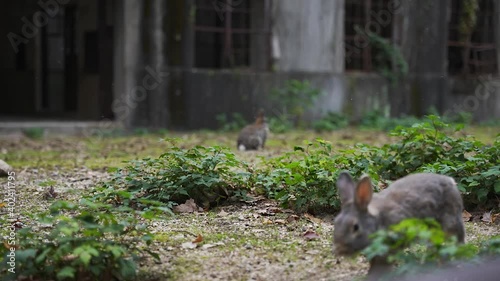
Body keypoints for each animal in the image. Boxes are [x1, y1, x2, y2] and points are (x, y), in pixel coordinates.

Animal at [332, 172, 464, 276]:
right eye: (336, 222)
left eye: (355, 227)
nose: (338, 250)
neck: (377, 221)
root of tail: (451, 182)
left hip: (449, 222)